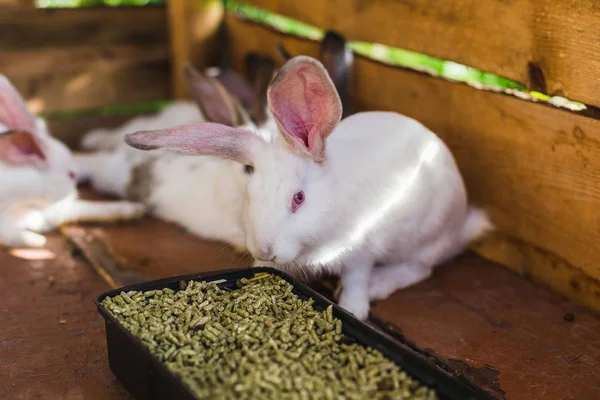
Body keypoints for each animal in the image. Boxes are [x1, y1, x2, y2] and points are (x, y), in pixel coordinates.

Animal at [124, 56, 494, 320]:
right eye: (249, 192)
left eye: (298, 199)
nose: (265, 250)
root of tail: (461, 225)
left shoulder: (361, 250)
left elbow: (357, 277)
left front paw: (354, 308)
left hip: (424, 239)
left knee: (420, 267)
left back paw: (380, 285)